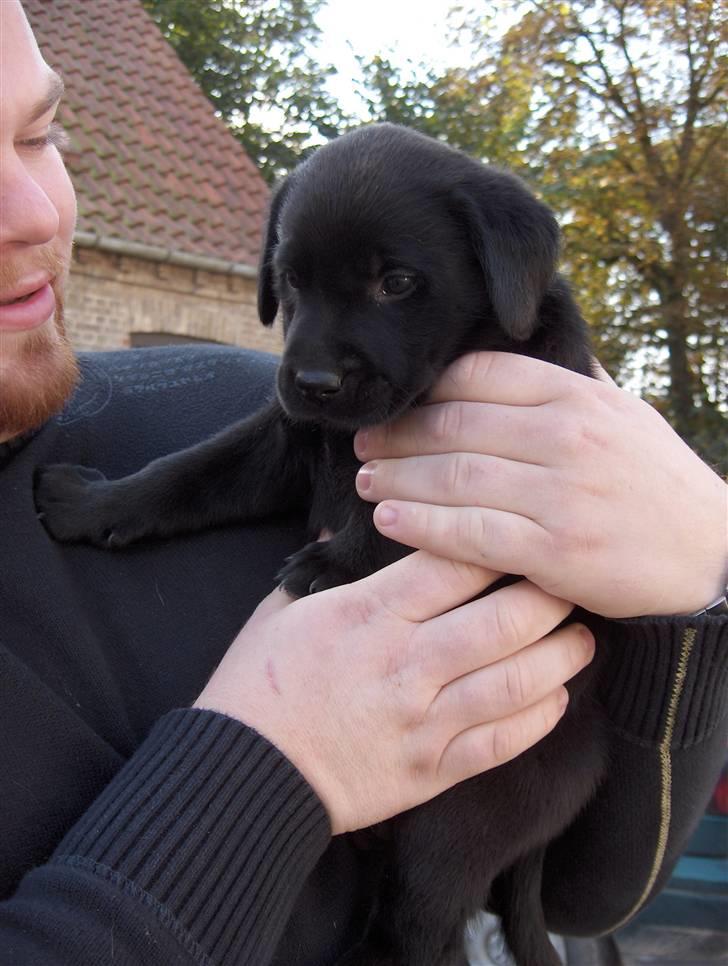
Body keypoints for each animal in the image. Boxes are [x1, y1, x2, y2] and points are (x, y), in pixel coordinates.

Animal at [38, 123, 608, 966]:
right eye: (289, 281)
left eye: (395, 282)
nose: (311, 381)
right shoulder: (289, 438)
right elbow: (190, 471)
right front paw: (92, 503)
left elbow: (393, 509)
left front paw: (334, 565)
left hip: (456, 823)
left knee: (426, 928)